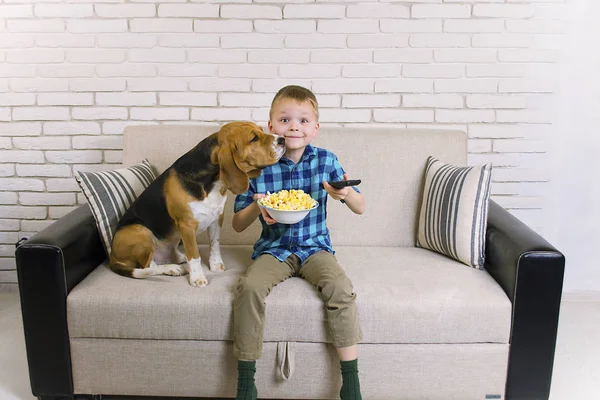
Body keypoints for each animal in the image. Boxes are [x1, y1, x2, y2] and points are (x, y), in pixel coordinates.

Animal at [109, 120, 284, 286]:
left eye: (261, 131)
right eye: (253, 138)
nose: (282, 139)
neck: (213, 183)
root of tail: (112, 256)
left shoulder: (217, 218)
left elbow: (215, 244)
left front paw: (216, 265)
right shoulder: (187, 225)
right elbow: (194, 255)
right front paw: (197, 278)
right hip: (140, 230)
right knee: (148, 266)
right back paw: (173, 268)